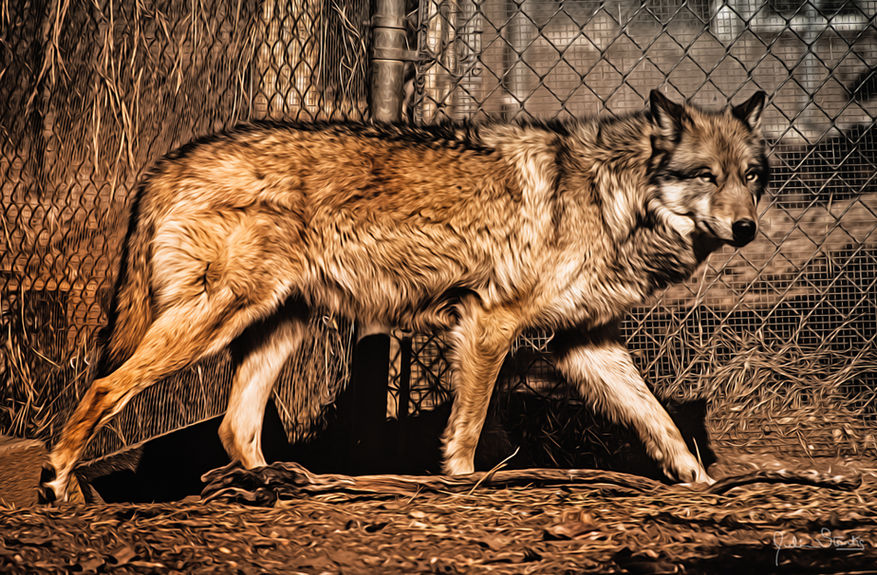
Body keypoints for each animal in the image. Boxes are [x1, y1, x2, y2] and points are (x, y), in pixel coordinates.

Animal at [40, 90, 768, 502]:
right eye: (706, 176)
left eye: (752, 175)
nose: (747, 230)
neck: (609, 198)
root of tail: (168, 162)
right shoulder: (488, 324)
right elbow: (467, 429)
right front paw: (463, 487)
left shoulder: (584, 344)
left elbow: (660, 421)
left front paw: (705, 486)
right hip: (214, 321)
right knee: (105, 387)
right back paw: (59, 486)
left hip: (280, 327)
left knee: (234, 425)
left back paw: (279, 487)